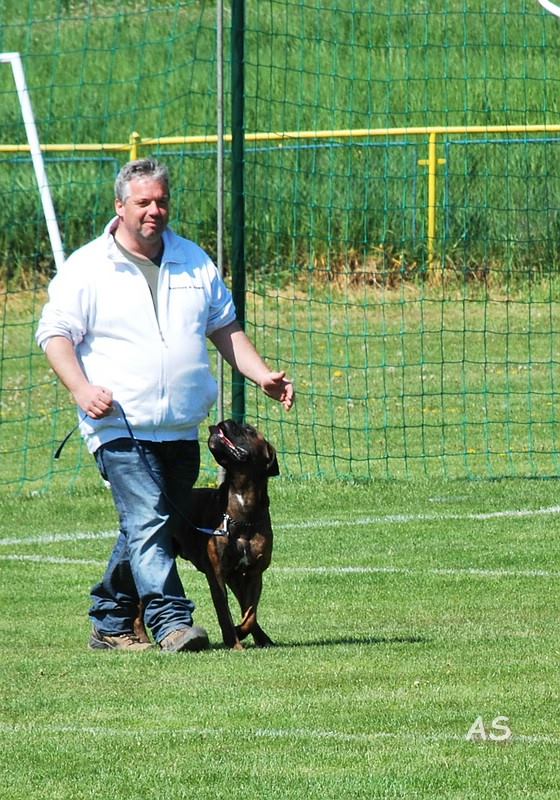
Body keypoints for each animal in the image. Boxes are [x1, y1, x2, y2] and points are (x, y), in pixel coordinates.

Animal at [172, 419, 279, 650]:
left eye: (249, 430)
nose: (227, 421)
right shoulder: (217, 575)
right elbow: (225, 614)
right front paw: (234, 642)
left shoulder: (253, 573)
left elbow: (250, 613)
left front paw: (242, 631)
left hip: (236, 577)